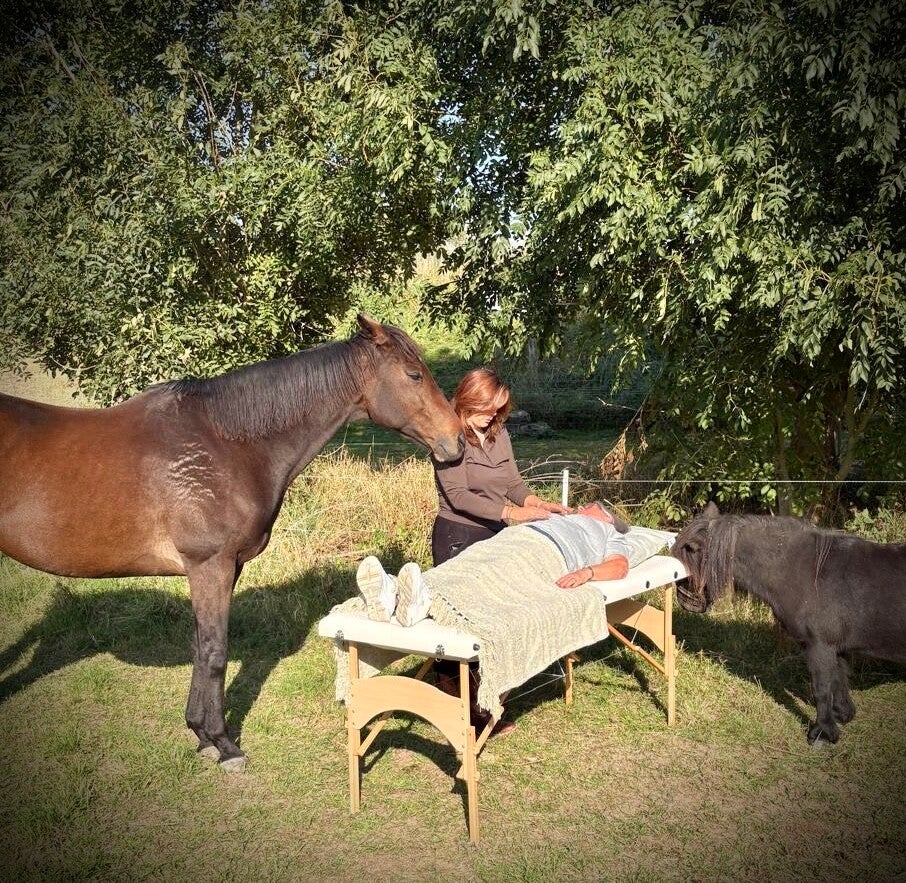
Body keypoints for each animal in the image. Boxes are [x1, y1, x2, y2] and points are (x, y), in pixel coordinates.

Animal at [0, 314, 464, 769]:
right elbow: (215, 651)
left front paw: (200, 734)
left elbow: (200, 645)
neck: (227, 444)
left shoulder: (223, 567)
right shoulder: (211, 565)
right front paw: (224, 744)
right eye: (414, 374)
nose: (457, 440)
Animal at [671, 502, 906, 745]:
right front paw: (842, 714)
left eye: (690, 550)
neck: (807, 572)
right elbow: (839, 679)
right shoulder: (835, 647)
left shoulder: (820, 647)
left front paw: (822, 733)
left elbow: (821, 688)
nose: (685, 600)